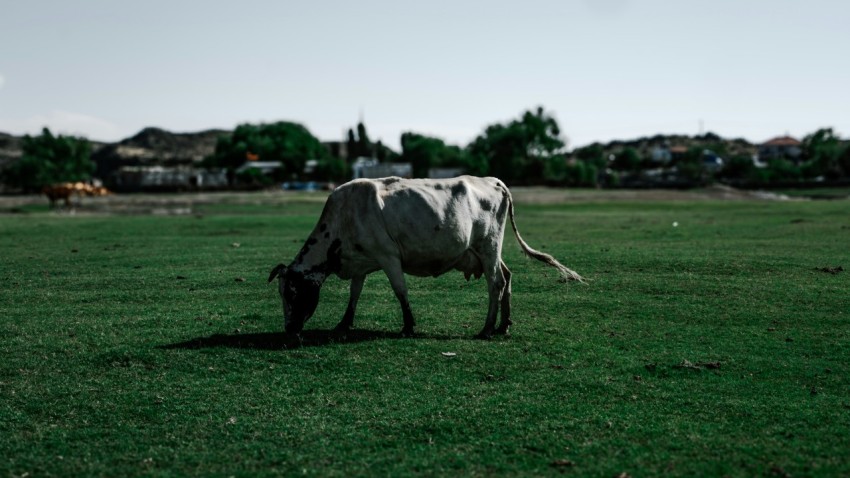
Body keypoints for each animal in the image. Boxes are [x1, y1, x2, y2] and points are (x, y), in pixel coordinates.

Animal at [268, 176, 583, 343]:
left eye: (293, 293)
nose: (290, 331)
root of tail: (493, 181)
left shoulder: (388, 256)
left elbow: (400, 291)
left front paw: (408, 325)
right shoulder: (361, 261)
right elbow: (354, 294)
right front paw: (344, 325)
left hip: (489, 244)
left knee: (496, 283)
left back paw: (486, 329)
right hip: (488, 252)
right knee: (506, 277)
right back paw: (503, 324)